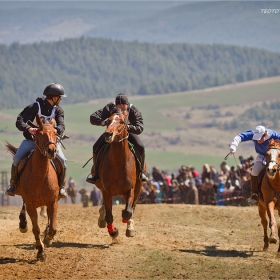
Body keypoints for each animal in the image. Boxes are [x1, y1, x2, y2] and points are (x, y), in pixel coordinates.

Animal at [5, 114, 60, 260]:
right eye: (40, 134)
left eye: (55, 133)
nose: (51, 150)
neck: (40, 176)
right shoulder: (31, 204)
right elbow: (36, 229)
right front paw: (40, 251)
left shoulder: (53, 202)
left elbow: (53, 227)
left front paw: (48, 239)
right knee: (24, 209)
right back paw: (23, 224)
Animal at [93, 108, 143, 237]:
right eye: (108, 120)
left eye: (121, 122)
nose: (108, 134)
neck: (119, 163)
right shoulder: (106, 191)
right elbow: (109, 215)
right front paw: (113, 231)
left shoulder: (130, 189)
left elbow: (128, 211)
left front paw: (127, 222)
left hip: (139, 187)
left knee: (132, 207)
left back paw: (129, 226)